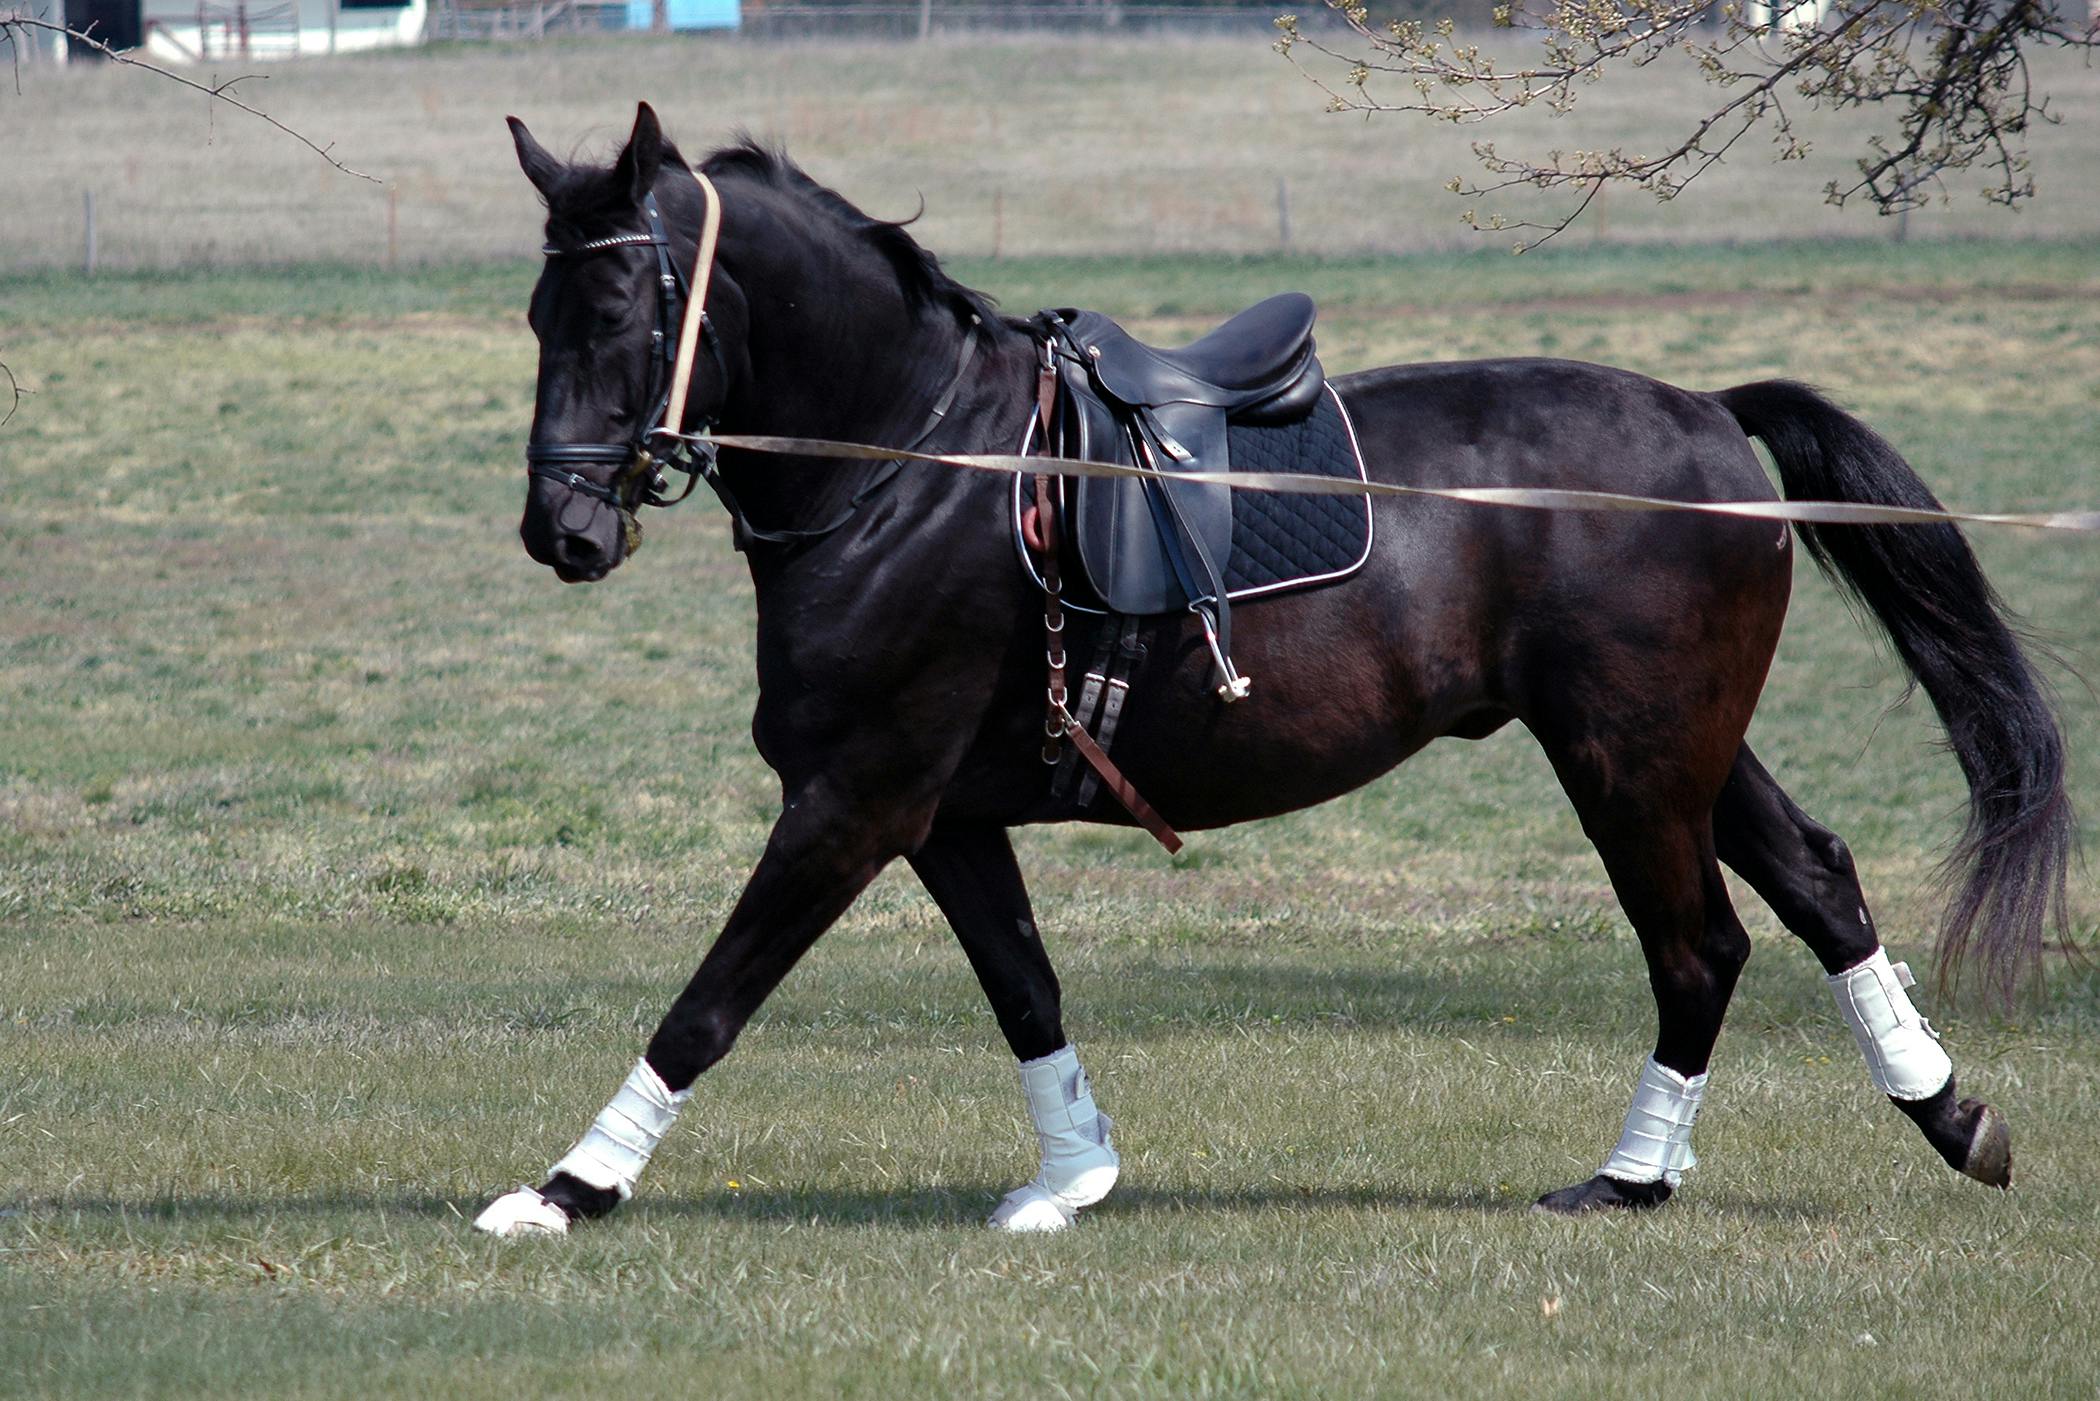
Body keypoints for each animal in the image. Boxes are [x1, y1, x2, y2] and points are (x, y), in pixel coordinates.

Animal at [473, 103, 2072, 1237]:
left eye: (616, 317)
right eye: (539, 319)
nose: (561, 532)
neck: (915, 465)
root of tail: (1705, 415)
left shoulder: (853, 803)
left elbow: (710, 1000)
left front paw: (569, 1188)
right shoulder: (946, 818)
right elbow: (1026, 990)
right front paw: (1071, 1177)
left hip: (1626, 760)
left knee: (1703, 947)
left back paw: (1630, 1178)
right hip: (1683, 747)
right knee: (1817, 882)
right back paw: (1944, 1113)